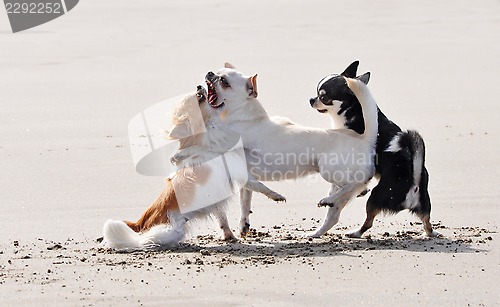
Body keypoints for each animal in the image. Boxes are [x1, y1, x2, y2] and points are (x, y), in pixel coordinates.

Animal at [102, 88, 286, 251]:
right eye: (199, 98)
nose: (199, 86)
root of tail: (141, 222)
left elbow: (223, 218)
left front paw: (229, 236)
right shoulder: (239, 174)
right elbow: (260, 186)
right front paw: (277, 196)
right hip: (170, 230)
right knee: (144, 241)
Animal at [310, 60, 440, 238]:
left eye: (324, 97)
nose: (311, 99)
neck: (354, 109)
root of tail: (413, 182)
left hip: (375, 197)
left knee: (368, 221)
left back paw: (355, 232)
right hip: (424, 204)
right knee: (427, 222)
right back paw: (429, 233)